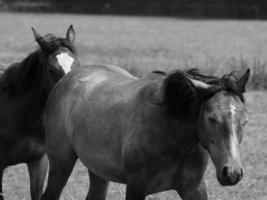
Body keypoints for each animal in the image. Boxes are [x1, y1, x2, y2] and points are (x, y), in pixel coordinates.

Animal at [42, 64, 251, 200]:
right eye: (212, 118)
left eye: (245, 121)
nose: (232, 173)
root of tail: (67, 78)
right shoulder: (136, 187)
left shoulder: (194, 188)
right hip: (61, 165)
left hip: (98, 171)